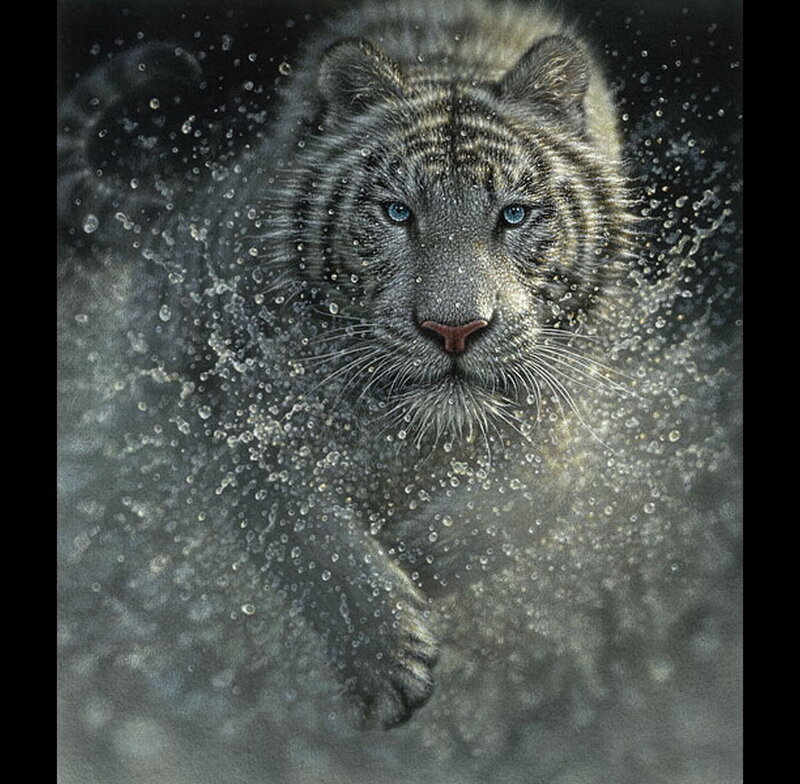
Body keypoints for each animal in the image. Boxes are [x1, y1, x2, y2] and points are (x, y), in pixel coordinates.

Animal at [58, 0, 638, 731]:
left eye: (514, 214)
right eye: (396, 212)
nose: (454, 331)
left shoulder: (569, 407)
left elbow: (535, 494)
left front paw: (416, 559)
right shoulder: (216, 395)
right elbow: (300, 525)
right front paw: (386, 659)